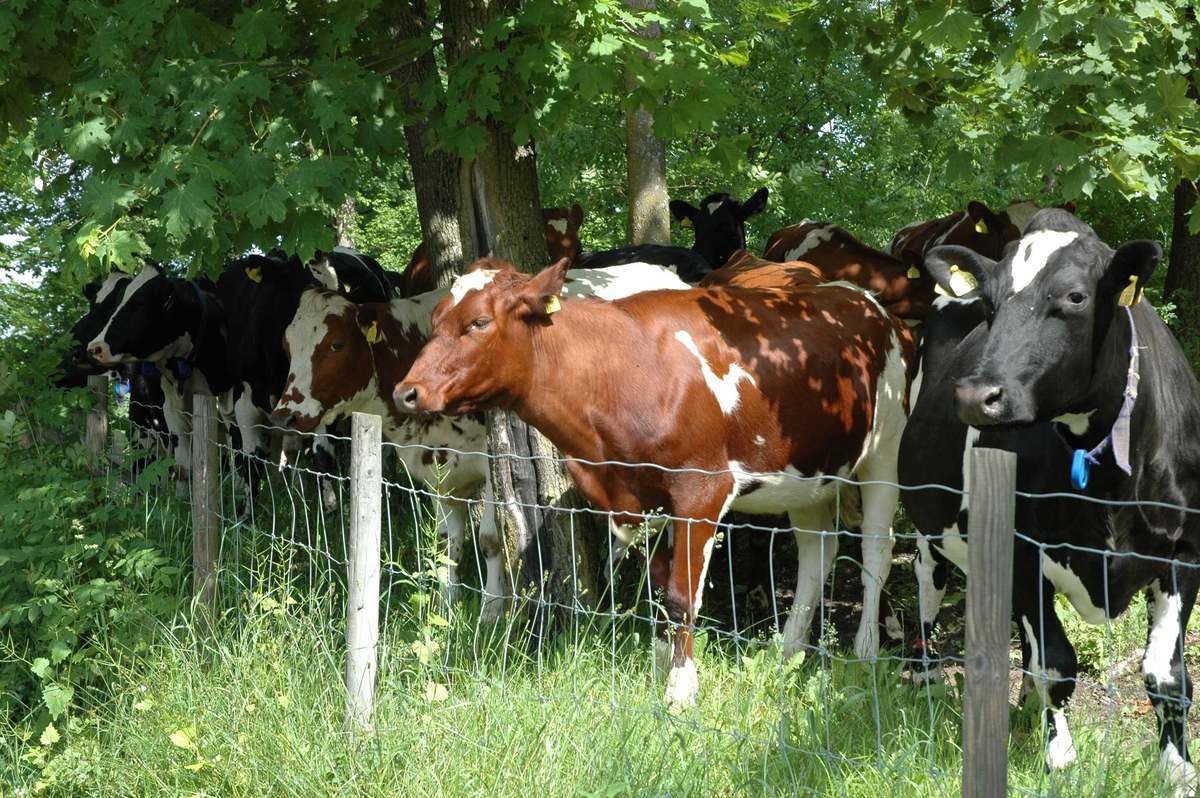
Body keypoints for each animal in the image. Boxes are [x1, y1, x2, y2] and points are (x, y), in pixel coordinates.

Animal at [268, 261, 691, 614]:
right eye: (286, 346)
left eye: (336, 345)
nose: (285, 415)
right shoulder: (436, 470)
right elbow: (446, 542)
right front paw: (445, 606)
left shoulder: (490, 468)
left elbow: (490, 540)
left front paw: (491, 611)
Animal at [398, 256, 912, 705]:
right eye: (435, 320)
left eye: (479, 322)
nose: (407, 391)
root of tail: (863, 298)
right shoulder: (647, 494)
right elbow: (660, 587)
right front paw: (661, 666)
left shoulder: (702, 491)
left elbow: (682, 596)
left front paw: (680, 691)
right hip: (812, 472)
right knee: (816, 552)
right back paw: (785, 652)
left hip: (885, 450)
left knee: (876, 546)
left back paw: (865, 652)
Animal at [902, 208, 1200, 787]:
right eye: (990, 304)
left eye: (1076, 297)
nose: (976, 396)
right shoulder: (1020, 550)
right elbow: (1057, 665)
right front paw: (1059, 758)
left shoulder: (1187, 549)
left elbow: (1167, 676)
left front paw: (1177, 770)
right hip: (926, 520)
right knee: (929, 586)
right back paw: (928, 683)